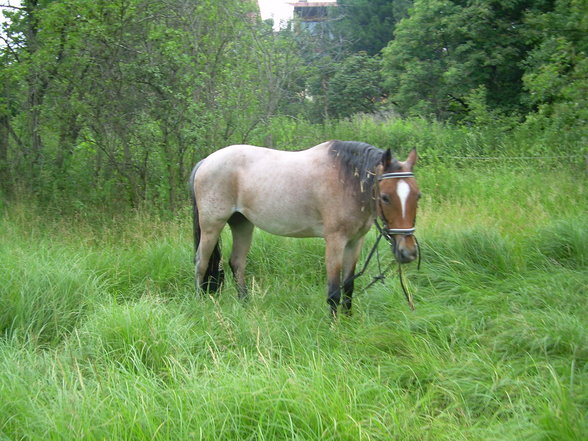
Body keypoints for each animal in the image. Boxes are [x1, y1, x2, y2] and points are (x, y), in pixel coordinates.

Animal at [191, 139, 420, 314]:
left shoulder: (355, 242)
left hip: (242, 225)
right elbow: (334, 291)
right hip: (212, 226)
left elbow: (348, 287)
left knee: (237, 263)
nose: (407, 252)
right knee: (201, 263)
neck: (347, 180)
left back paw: (245, 303)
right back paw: (201, 303)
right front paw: (335, 327)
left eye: (417, 196)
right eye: (385, 197)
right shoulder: (335, 241)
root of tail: (205, 161)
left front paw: (348, 320)